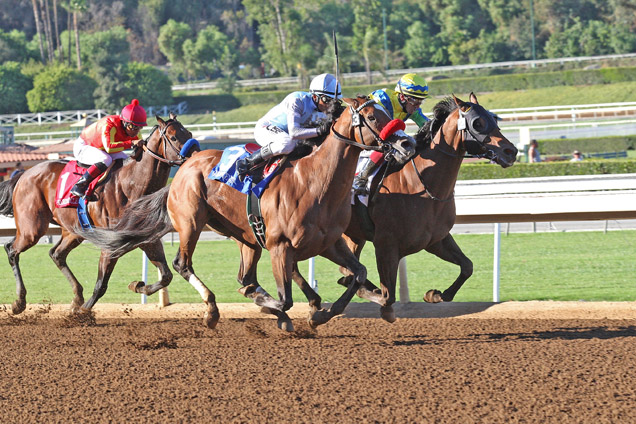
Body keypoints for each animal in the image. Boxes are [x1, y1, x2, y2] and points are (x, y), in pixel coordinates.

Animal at [0, 113, 196, 314]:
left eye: (188, 133)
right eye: (173, 137)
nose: (196, 154)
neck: (131, 185)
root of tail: (23, 175)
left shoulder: (146, 238)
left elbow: (166, 276)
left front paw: (138, 285)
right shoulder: (110, 244)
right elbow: (101, 285)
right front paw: (83, 313)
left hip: (73, 230)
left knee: (57, 254)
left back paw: (76, 297)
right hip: (32, 229)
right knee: (12, 250)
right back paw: (19, 302)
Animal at [79, 97, 418, 332]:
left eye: (389, 113)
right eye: (373, 117)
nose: (407, 142)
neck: (315, 181)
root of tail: (185, 167)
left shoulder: (329, 244)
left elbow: (357, 273)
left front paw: (322, 314)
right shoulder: (281, 246)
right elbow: (284, 298)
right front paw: (276, 309)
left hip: (246, 237)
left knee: (245, 276)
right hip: (191, 222)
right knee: (182, 264)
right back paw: (211, 310)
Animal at [340, 93, 520, 322]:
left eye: (494, 119)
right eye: (477, 123)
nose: (511, 151)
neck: (421, 185)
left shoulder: (436, 239)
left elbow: (467, 266)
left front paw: (434, 294)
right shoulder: (385, 244)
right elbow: (387, 295)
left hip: (354, 235)